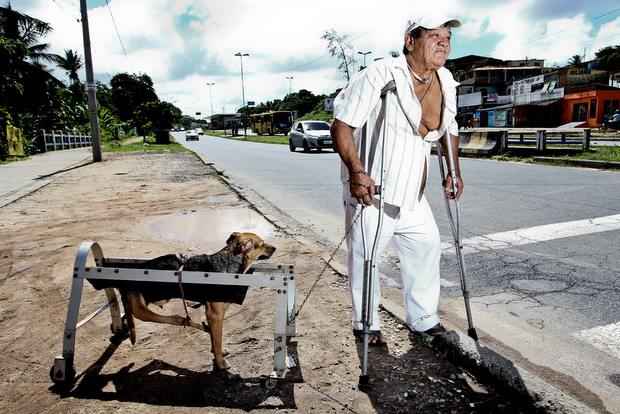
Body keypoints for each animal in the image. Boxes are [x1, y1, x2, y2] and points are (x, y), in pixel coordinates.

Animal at [117, 231, 276, 370]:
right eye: (262, 244)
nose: (275, 248)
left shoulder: (213, 312)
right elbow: (217, 339)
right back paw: (185, 321)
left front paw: (216, 351)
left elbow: (215, 339)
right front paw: (220, 363)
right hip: (141, 311)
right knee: (172, 318)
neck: (229, 259)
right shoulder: (215, 314)